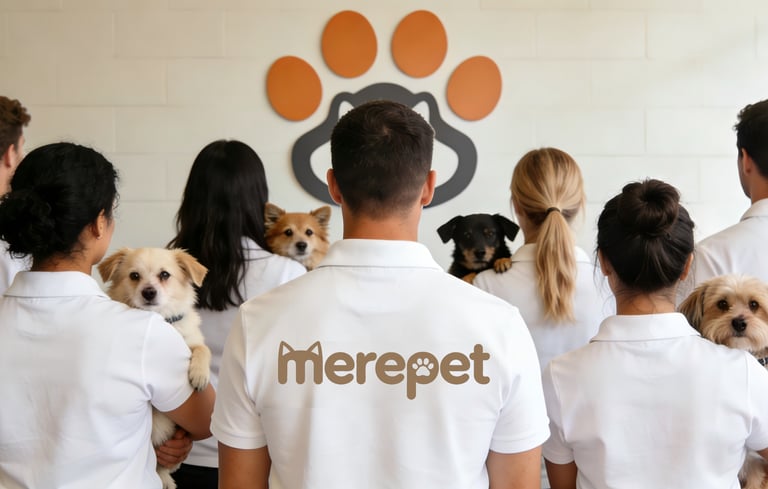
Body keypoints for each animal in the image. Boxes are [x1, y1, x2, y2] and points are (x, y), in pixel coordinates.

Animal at [98, 247, 210, 489]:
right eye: (134, 276)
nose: (149, 292)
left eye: (165, 275)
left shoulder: (193, 340)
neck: (162, 320)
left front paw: (200, 375)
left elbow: (202, 349)